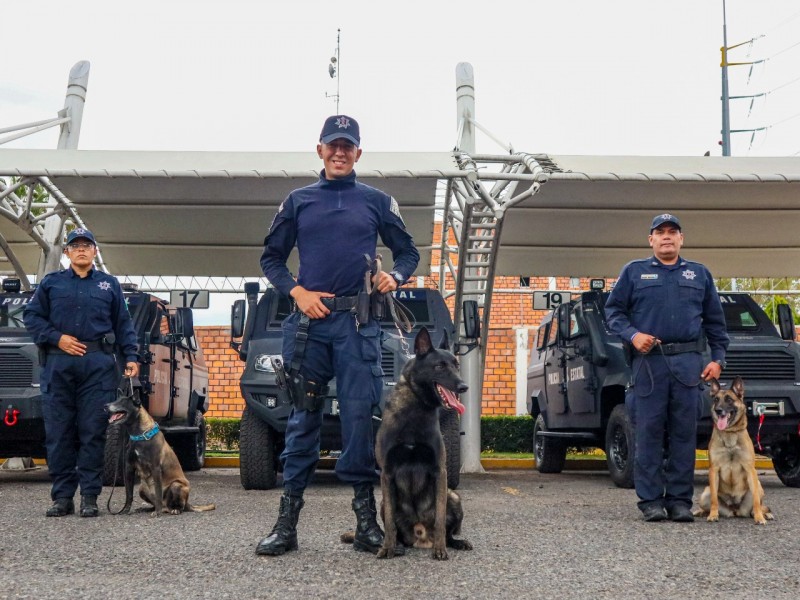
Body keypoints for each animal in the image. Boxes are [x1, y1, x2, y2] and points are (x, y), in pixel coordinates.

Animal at [105, 386, 215, 516]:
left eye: (122, 402)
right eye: (115, 400)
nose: (105, 405)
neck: (140, 435)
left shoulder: (155, 468)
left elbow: (158, 492)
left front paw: (157, 513)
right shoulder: (129, 468)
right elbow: (129, 494)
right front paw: (126, 510)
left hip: (176, 485)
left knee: (177, 505)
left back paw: (173, 510)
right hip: (142, 489)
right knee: (159, 504)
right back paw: (147, 509)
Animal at [375, 327, 472, 560]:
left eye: (456, 366)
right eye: (439, 366)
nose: (464, 386)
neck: (415, 409)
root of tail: (420, 534)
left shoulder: (440, 471)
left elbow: (439, 519)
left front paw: (440, 549)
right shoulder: (386, 473)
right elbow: (390, 523)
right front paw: (387, 547)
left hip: (453, 496)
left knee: (448, 531)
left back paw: (455, 543)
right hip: (383, 501)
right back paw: (397, 545)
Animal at [693, 376, 773, 524]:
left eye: (729, 399)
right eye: (716, 399)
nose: (718, 410)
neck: (729, 433)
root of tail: (734, 510)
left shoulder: (750, 469)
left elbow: (756, 502)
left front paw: (760, 517)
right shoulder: (714, 470)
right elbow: (714, 499)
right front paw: (713, 515)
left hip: (758, 486)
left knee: (758, 505)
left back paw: (764, 514)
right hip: (705, 493)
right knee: (708, 502)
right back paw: (701, 512)